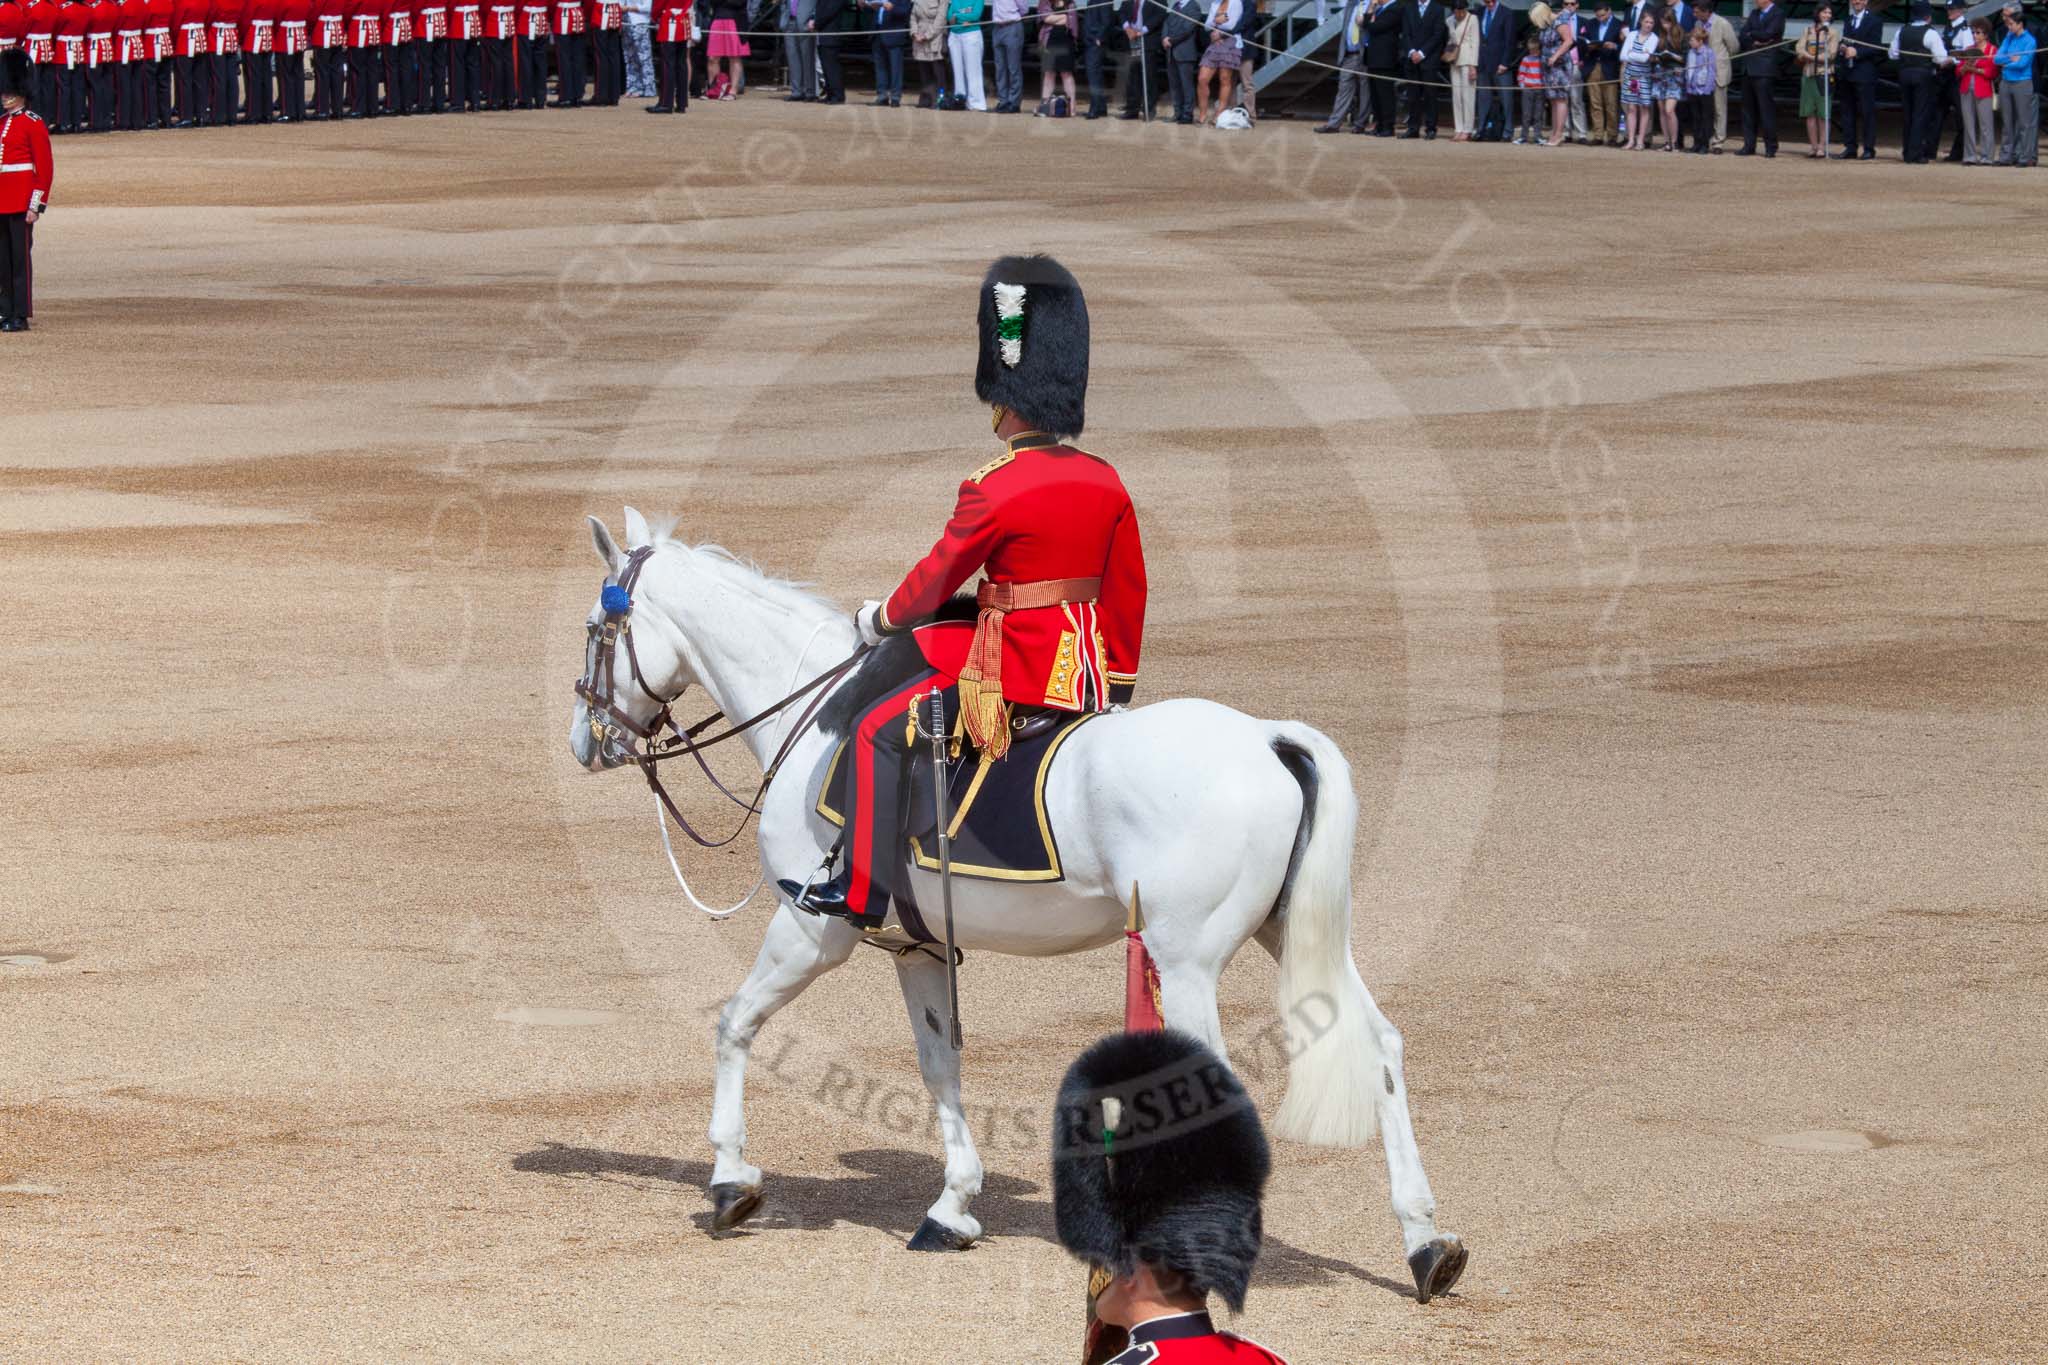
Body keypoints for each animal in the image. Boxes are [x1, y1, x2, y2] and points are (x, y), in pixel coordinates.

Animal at [565, 511, 1474, 1301]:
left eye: (598, 627)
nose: (585, 739)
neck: (816, 711)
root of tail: (1264, 736)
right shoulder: (918, 946)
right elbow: (939, 1064)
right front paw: (953, 1205)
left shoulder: (812, 927)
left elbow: (734, 1024)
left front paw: (730, 1180)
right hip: (1290, 935)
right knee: (1379, 1042)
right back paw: (1425, 1240)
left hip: (1183, 960)